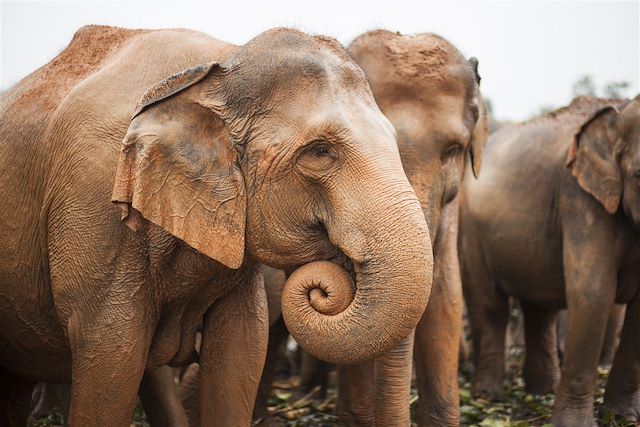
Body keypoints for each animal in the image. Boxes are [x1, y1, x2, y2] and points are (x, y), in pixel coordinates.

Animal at [0, 25, 436, 426]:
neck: (216, 67)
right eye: (319, 152)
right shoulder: (94, 201)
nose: (323, 286)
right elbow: (111, 348)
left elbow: (241, 346)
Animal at [460, 95, 640, 426]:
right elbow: (593, 293)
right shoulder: (580, 199)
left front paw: (623, 417)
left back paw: (541, 392)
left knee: (539, 310)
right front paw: (575, 425)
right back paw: (488, 397)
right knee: (490, 306)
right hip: (470, 229)